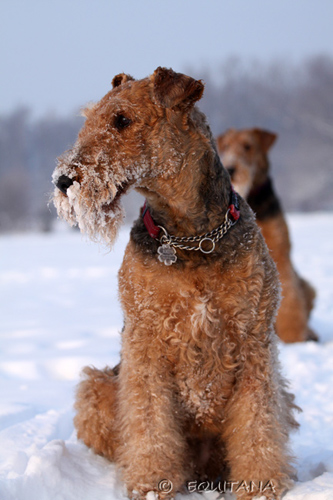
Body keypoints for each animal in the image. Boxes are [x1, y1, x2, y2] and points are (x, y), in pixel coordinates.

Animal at [215, 127, 316, 344]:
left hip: (308, 287)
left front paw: (294, 338)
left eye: (248, 146)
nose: (231, 168)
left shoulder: (279, 252)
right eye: (225, 146)